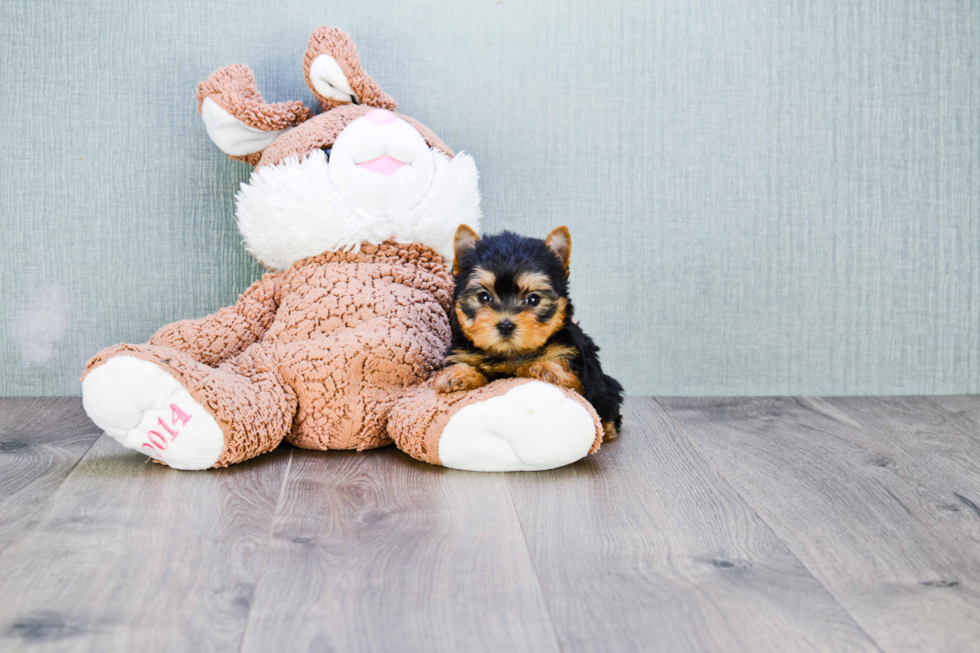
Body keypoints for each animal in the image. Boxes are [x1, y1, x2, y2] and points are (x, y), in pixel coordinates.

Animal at [438, 222, 628, 440]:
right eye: (484, 297)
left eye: (533, 299)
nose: (505, 325)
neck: (509, 354)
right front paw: (457, 375)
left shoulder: (577, 372)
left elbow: (566, 375)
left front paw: (547, 368)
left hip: (605, 388)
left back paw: (608, 428)